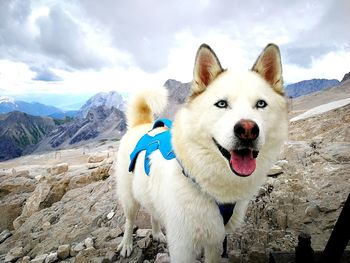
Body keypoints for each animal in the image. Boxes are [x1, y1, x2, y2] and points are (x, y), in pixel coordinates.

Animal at [115, 43, 288, 262]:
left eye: (261, 104)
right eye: (221, 103)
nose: (248, 130)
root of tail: (141, 125)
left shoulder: (216, 240)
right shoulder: (182, 247)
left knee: (154, 213)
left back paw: (157, 233)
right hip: (129, 198)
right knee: (129, 221)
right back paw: (127, 244)